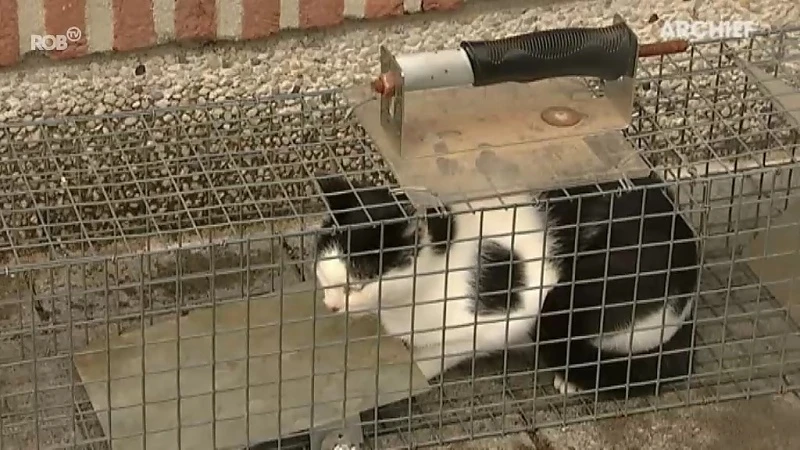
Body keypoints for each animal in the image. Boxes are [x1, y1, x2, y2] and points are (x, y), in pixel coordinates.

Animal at [312, 172, 700, 398]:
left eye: (358, 284)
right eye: (325, 275)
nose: (330, 305)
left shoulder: (507, 316)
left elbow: (439, 354)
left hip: (579, 293)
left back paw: (574, 379)